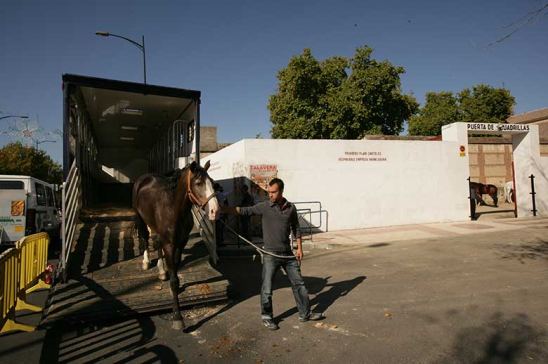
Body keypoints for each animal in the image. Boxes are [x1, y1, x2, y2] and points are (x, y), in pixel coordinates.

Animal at [132, 161, 218, 330]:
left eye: (212, 182)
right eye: (198, 183)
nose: (214, 210)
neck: (174, 209)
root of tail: (145, 178)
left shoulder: (180, 243)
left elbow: (176, 275)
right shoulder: (170, 244)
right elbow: (173, 281)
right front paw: (177, 317)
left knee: (156, 243)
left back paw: (161, 271)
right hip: (141, 218)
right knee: (145, 238)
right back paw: (146, 262)